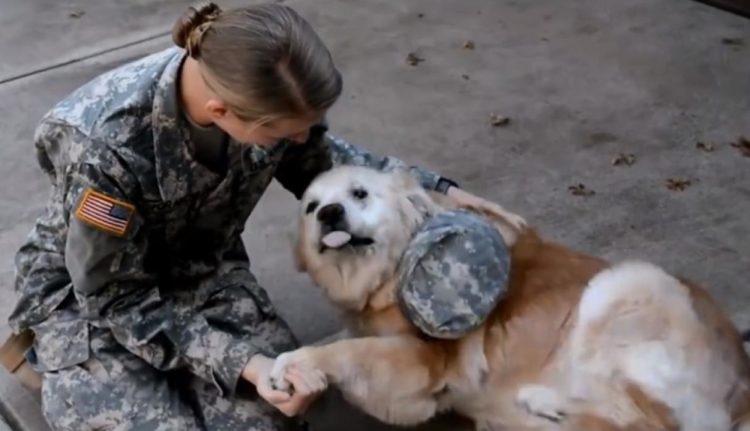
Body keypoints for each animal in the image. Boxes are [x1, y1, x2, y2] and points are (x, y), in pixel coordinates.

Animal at [270, 164, 750, 430]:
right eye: (311, 207)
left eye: (360, 193)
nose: (330, 213)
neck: (386, 273)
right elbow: (340, 339)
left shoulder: (425, 368)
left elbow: (348, 351)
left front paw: (294, 366)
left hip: (624, 284)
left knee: (646, 424)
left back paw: (539, 404)